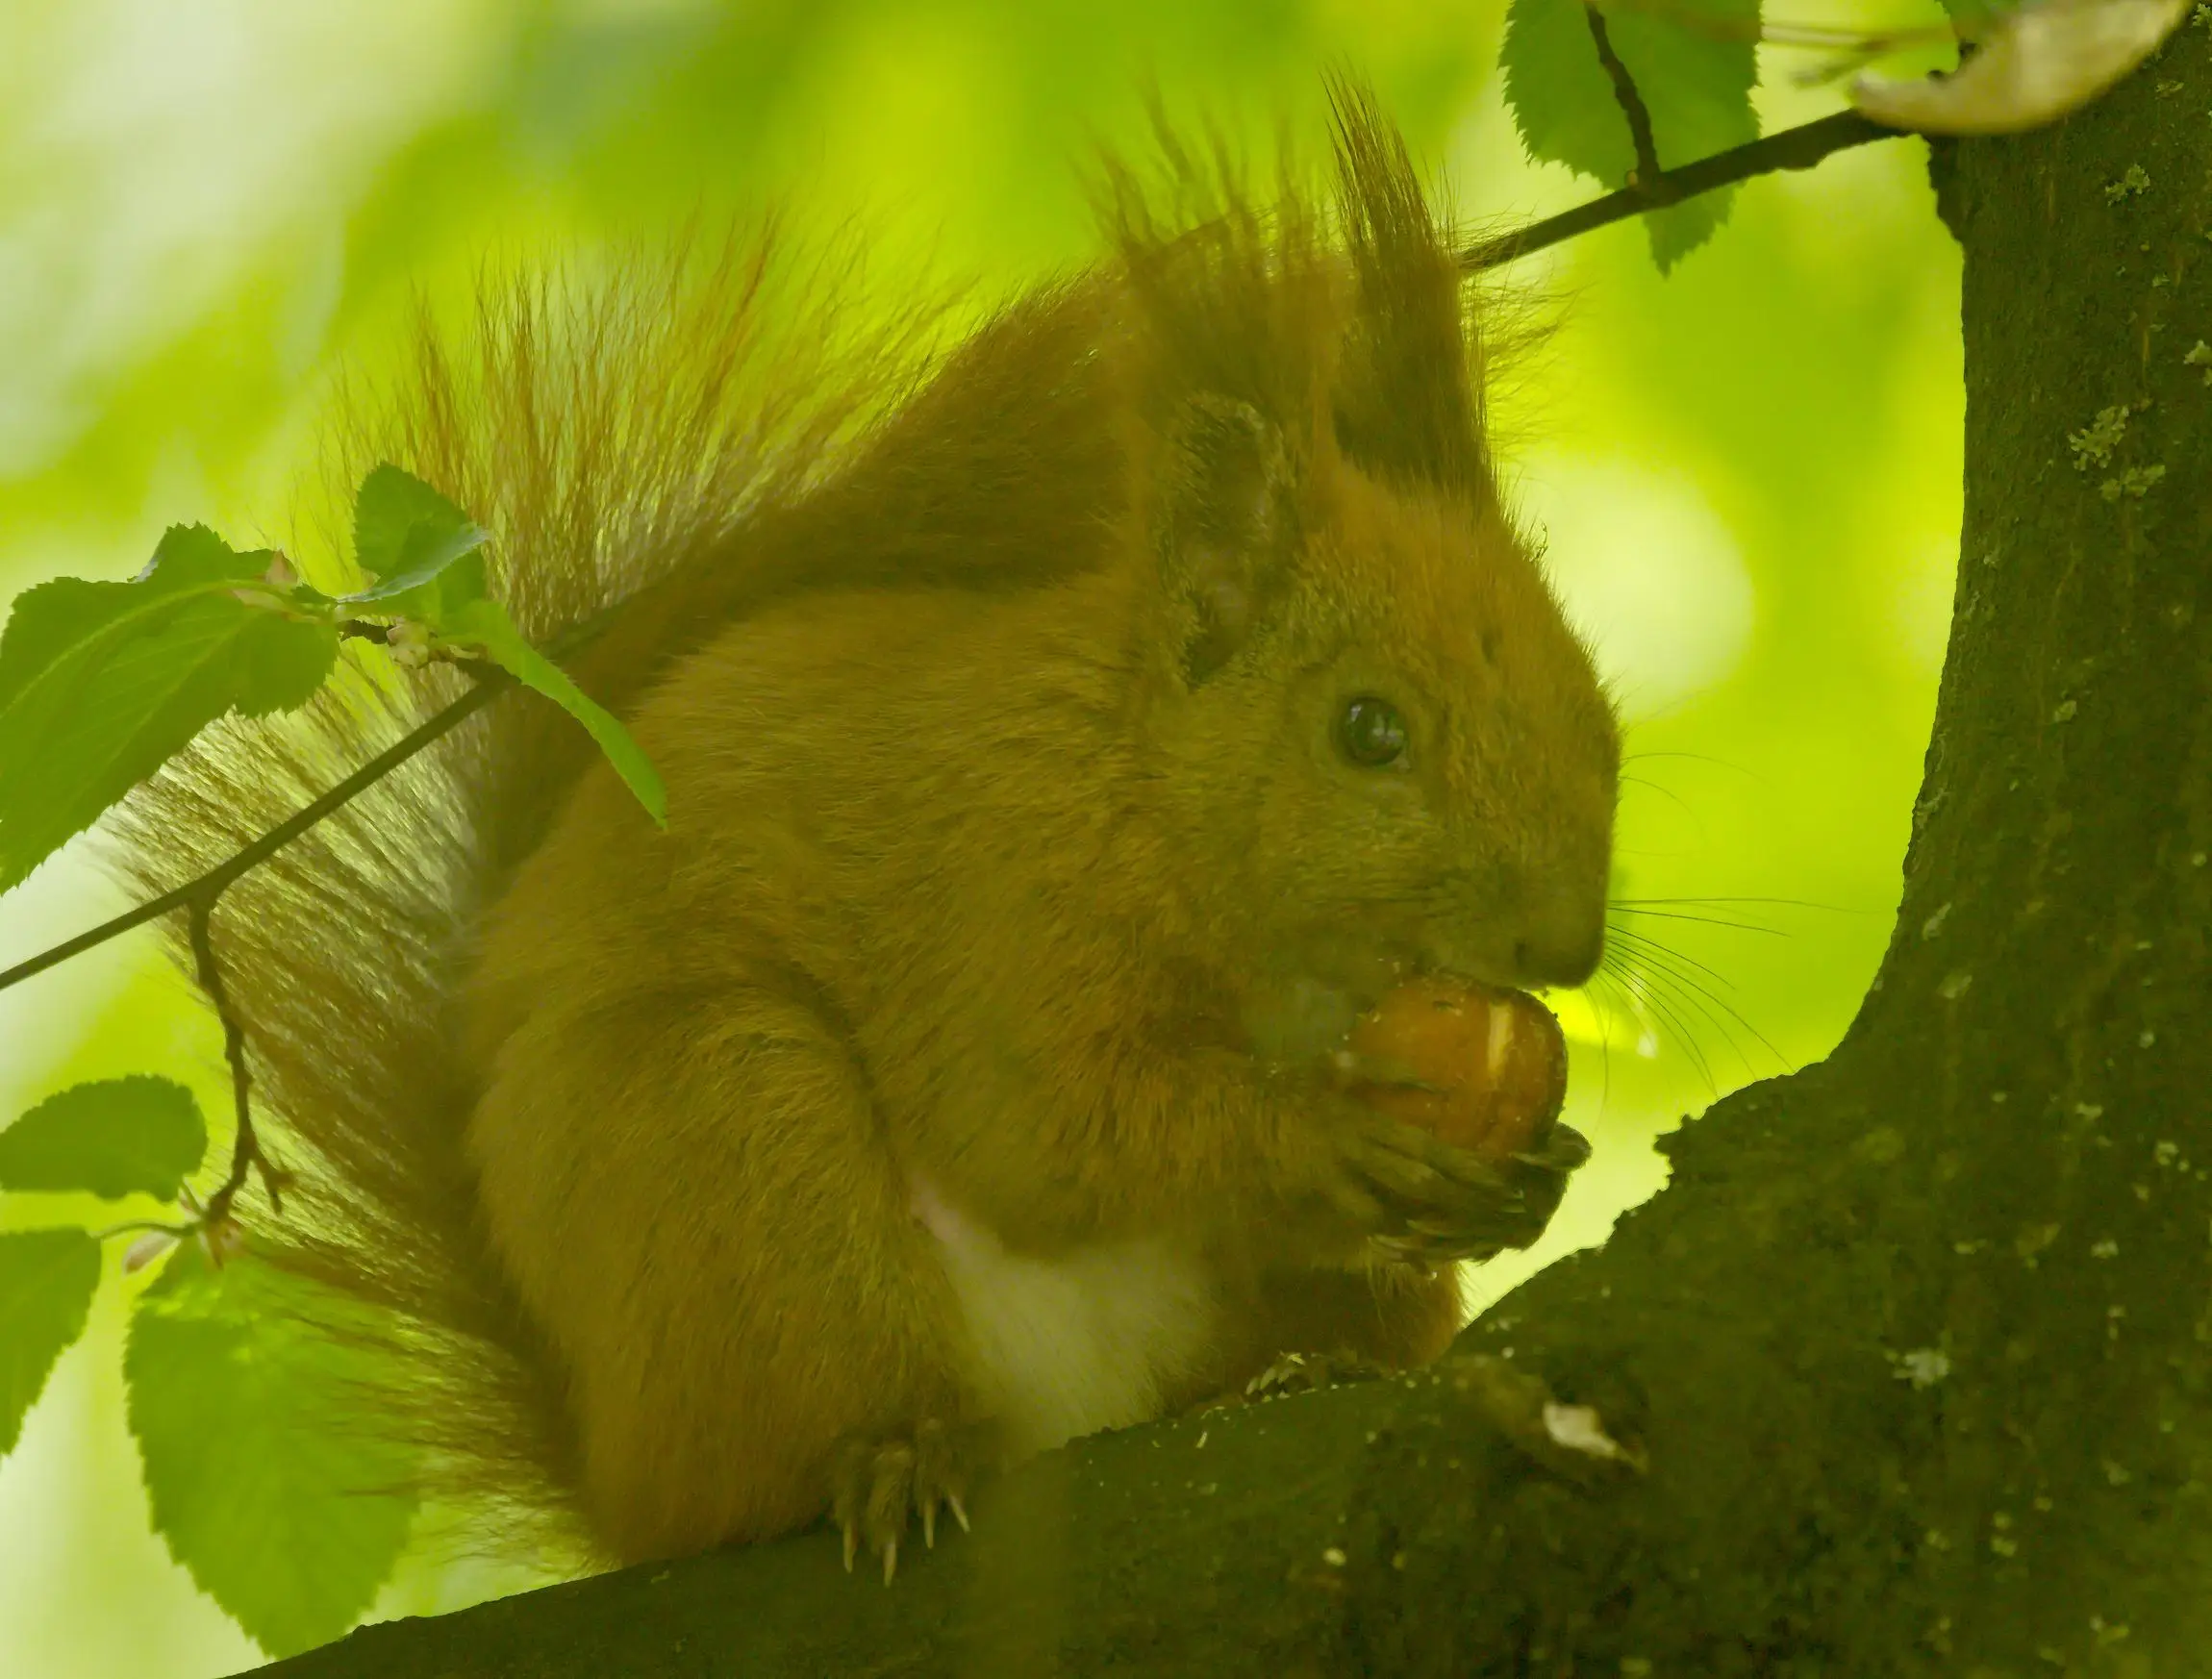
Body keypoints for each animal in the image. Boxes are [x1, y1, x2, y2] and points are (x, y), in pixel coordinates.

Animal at [112, 88, 1619, 1592]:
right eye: (1366, 730)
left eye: (1600, 717)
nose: (1565, 947)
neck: (1146, 783)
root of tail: (611, 1474)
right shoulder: (1000, 889)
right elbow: (1043, 1131)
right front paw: (1319, 1140)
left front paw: (1536, 1174)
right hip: (733, 1141)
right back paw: (897, 1460)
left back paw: (1299, 1372)